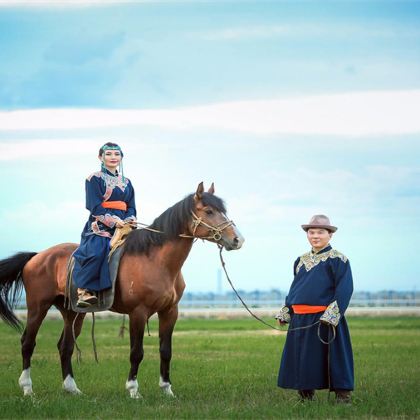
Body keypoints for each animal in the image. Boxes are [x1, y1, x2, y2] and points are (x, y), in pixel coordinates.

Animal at [0, 183, 244, 398]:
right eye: (209, 211)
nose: (237, 239)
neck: (156, 260)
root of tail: (37, 256)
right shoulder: (138, 313)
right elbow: (136, 353)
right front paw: (133, 390)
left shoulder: (170, 312)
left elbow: (166, 351)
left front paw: (167, 390)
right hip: (38, 307)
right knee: (27, 343)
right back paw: (28, 389)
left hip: (72, 312)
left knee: (65, 346)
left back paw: (72, 389)